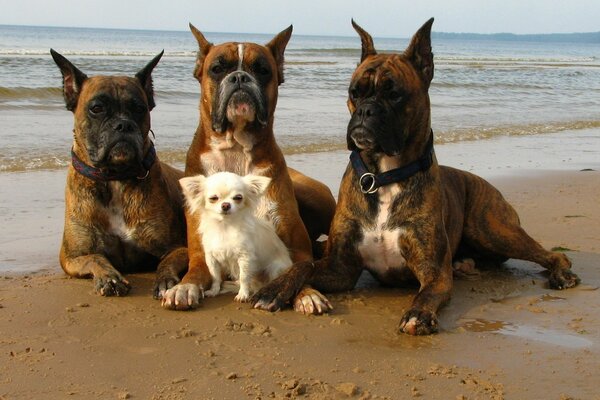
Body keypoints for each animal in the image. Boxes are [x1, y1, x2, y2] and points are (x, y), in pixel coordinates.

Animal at [51, 48, 188, 296]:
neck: (114, 177)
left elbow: (167, 261)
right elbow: (96, 258)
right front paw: (109, 277)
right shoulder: (71, 257)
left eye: (139, 109)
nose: (123, 124)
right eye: (96, 108)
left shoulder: (178, 247)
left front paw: (165, 280)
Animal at [180, 170, 292, 302]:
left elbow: (244, 277)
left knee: (264, 283)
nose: (226, 205)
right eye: (213, 198)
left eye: (238, 198)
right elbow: (215, 276)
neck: (225, 226)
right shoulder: (211, 258)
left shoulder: (245, 258)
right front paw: (214, 291)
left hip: (275, 268)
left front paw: (243, 294)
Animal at [251, 20, 580, 336]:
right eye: (354, 92)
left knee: (552, 255)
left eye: (395, 94)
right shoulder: (340, 269)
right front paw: (274, 289)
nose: (365, 111)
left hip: (494, 230)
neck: (384, 175)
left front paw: (418, 315)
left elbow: (425, 294)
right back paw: (466, 263)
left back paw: (562, 274)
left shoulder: (433, 273)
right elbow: (303, 266)